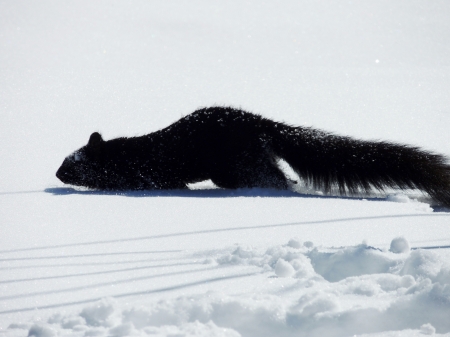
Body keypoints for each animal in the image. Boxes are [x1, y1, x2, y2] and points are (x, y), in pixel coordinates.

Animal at [56, 105, 450, 205]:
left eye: (69, 163)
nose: (57, 175)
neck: (123, 154)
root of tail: (261, 124)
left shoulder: (147, 173)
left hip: (236, 165)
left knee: (275, 178)